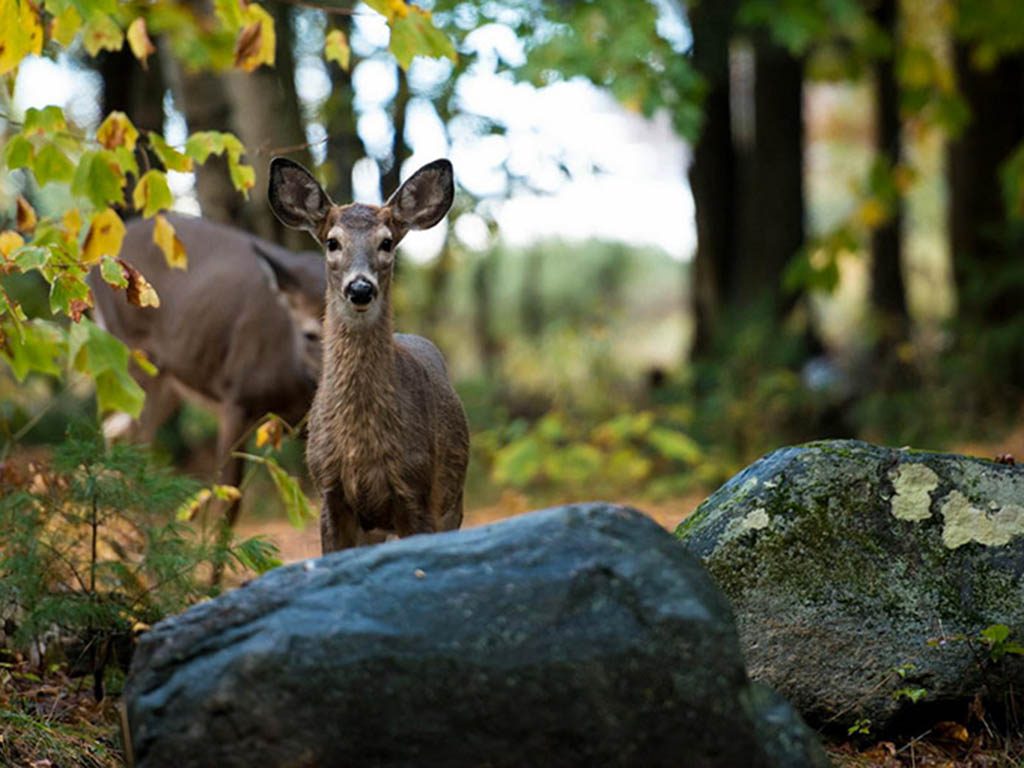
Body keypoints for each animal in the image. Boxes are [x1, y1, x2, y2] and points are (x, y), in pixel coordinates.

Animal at [91, 217, 325, 528]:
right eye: (310, 334)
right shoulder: (236, 398)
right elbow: (229, 500)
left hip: (168, 383)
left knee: (117, 429)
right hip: (136, 353)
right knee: (134, 440)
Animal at [266, 157, 468, 552]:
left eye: (386, 242)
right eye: (332, 242)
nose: (360, 288)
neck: (362, 448)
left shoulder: (417, 491)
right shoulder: (329, 491)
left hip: (452, 501)